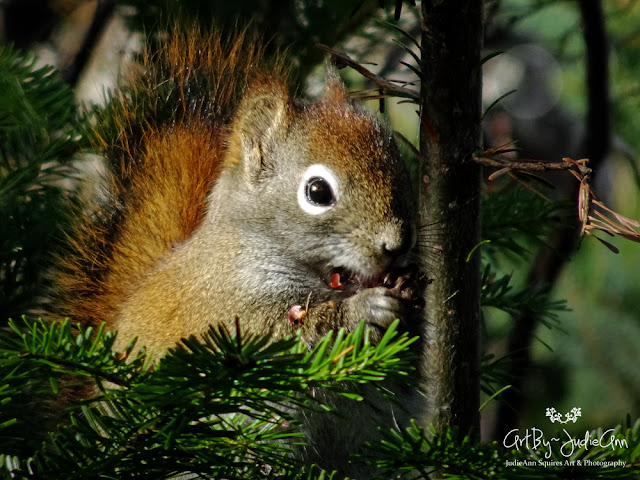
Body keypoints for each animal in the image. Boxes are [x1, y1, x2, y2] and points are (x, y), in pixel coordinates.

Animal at [52, 26, 428, 476]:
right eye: (318, 192)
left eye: (402, 170)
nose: (397, 245)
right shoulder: (223, 309)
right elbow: (283, 334)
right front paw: (364, 309)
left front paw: (411, 302)